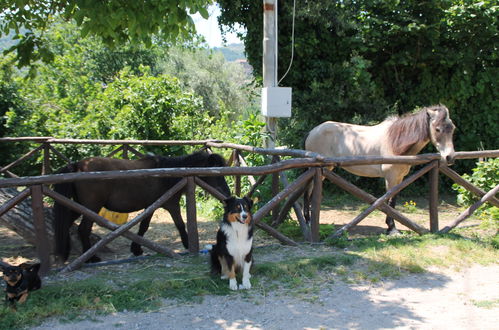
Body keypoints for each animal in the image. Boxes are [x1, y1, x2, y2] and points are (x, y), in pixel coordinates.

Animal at [53, 151, 233, 262]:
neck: (170, 174)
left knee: (69, 224)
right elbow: (181, 225)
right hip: (91, 208)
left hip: (79, 206)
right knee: (83, 229)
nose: (227, 194)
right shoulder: (172, 205)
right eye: (215, 173)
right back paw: (91, 258)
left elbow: (143, 227)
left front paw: (136, 249)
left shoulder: (150, 207)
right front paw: (189, 245)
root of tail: (78, 165)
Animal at [304, 104, 458, 233]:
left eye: (452, 128)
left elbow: (393, 201)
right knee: (308, 191)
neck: (395, 142)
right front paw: (392, 229)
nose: (449, 157)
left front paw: (392, 227)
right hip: (320, 169)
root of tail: (313, 131)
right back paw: (308, 220)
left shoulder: (399, 178)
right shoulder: (390, 178)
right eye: (437, 129)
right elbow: (388, 201)